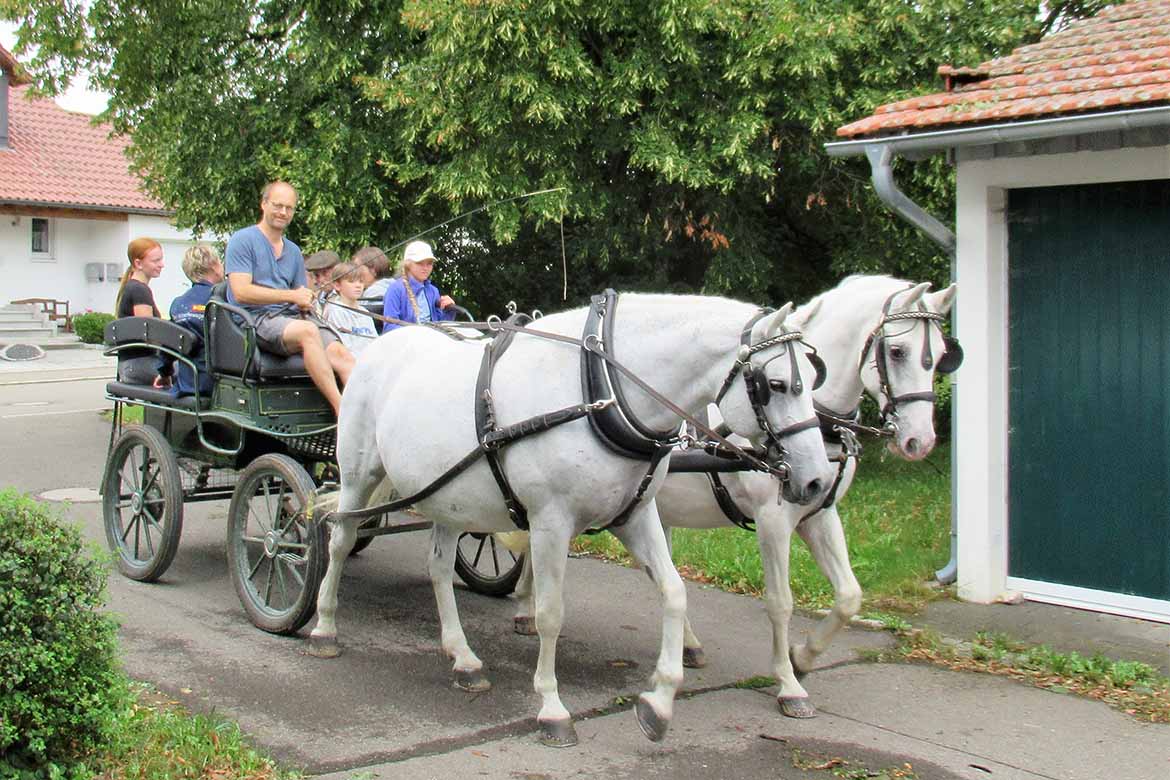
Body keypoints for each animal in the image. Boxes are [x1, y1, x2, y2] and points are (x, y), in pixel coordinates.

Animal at [308, 295, 833, 748]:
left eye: (814, 377)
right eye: (775, 385)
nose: (817, 481)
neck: (599, 391)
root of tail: (381, 344)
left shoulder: (636, 516)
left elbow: (675, 593)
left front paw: (660, 701)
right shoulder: (550, 522)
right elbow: (550, 614)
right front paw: (552, 708)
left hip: (448, 496)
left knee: (437, 566)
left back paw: (463, 658)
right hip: (358, 473)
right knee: (340, 538)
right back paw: (324, 627)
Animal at [512, 275, 959, 720]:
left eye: (940, 356)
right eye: (898, 352)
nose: (920, 441)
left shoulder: (820, 511)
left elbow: (850, 596)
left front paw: (804, 656)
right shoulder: (772, 519)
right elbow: (780, 602)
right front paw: (789, 683)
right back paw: (524, 608)